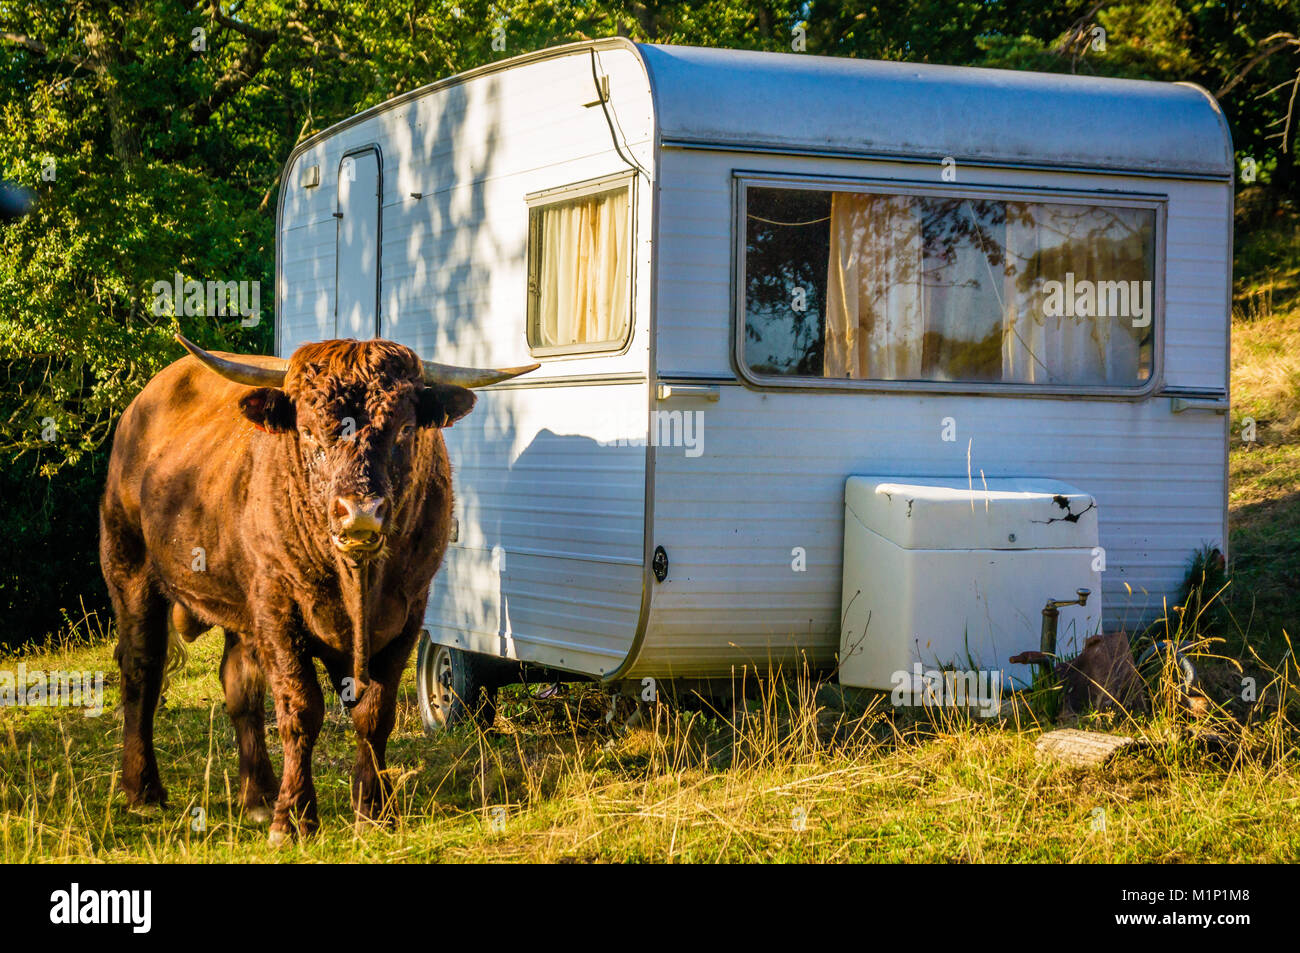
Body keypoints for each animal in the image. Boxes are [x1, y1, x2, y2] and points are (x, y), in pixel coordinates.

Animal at [96, 335, 533, 842]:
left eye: (405, 429)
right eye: (306, 433)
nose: (360, 514)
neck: (356, 581)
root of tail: (141, 405)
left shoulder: (408, 613)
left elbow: (374, 714)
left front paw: (374, 810)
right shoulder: (279, 609)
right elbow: (301, 709)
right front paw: (294, 818)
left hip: (240, 606)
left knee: (239, 686)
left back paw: (259, 796)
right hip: (130, 568)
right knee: (142, 671)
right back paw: (144, 791)